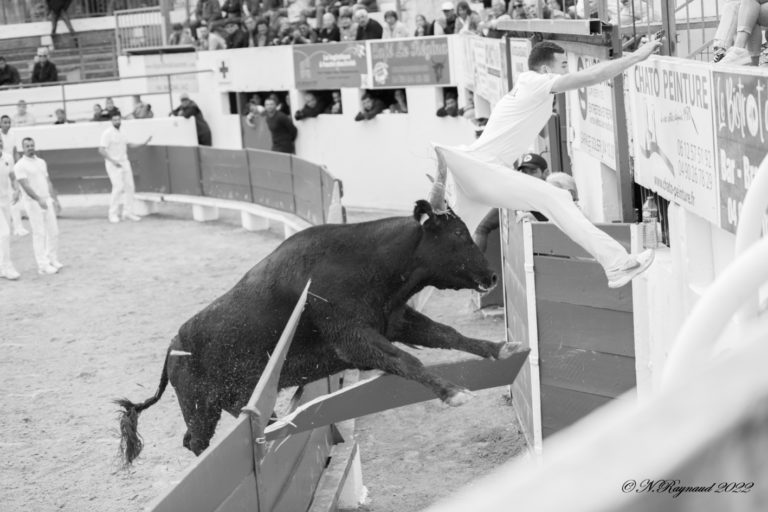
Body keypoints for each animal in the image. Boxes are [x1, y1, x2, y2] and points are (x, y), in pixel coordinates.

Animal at [118, 200, 516, 464]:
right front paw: (453, 392)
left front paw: (501, 349)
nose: (492, 276)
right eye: (459, 233)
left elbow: (448, 334)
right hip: (200, 407)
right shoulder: (353, 339)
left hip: (233, 399)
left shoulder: (394, 320)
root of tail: (173, 347)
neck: (367, 260)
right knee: (195, 441)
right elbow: (407, 360)